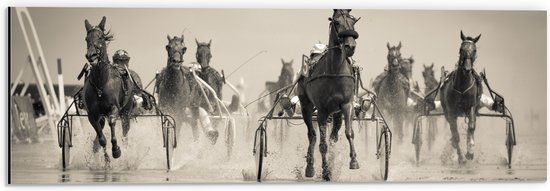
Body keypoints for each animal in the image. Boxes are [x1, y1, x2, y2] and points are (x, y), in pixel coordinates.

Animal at [83, 16, 137, 159]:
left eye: (101, 37)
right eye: (86, 39)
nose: (91, 56)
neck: (101, 83)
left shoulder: (114, 108)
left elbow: (112, 121)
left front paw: (116, 149)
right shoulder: (92, 115)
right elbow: (101, 138)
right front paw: (106, 158)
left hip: (126, 112)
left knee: (125, 130)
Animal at [298, 9, 362, 181]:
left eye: (353, 22)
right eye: (337, 22)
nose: (350, 46)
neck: (335, 71)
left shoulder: (346, 105)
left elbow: (349, 133)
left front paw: (354, 161)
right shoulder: (321, 111)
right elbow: (322, 144)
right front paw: (326, 171)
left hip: (337, 112)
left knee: (334, 135)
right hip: (306, 107)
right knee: (312, 135)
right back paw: (310, 167)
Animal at [440, 31, 484, 164]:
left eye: (474, 50)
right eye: (461, 49)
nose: (467, 68)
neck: (462, 87)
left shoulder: (471, 107)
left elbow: (471, 127)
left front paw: (470, 152)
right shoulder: (451, 112)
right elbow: (455, 135)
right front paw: (461, 157)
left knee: (471, 128)